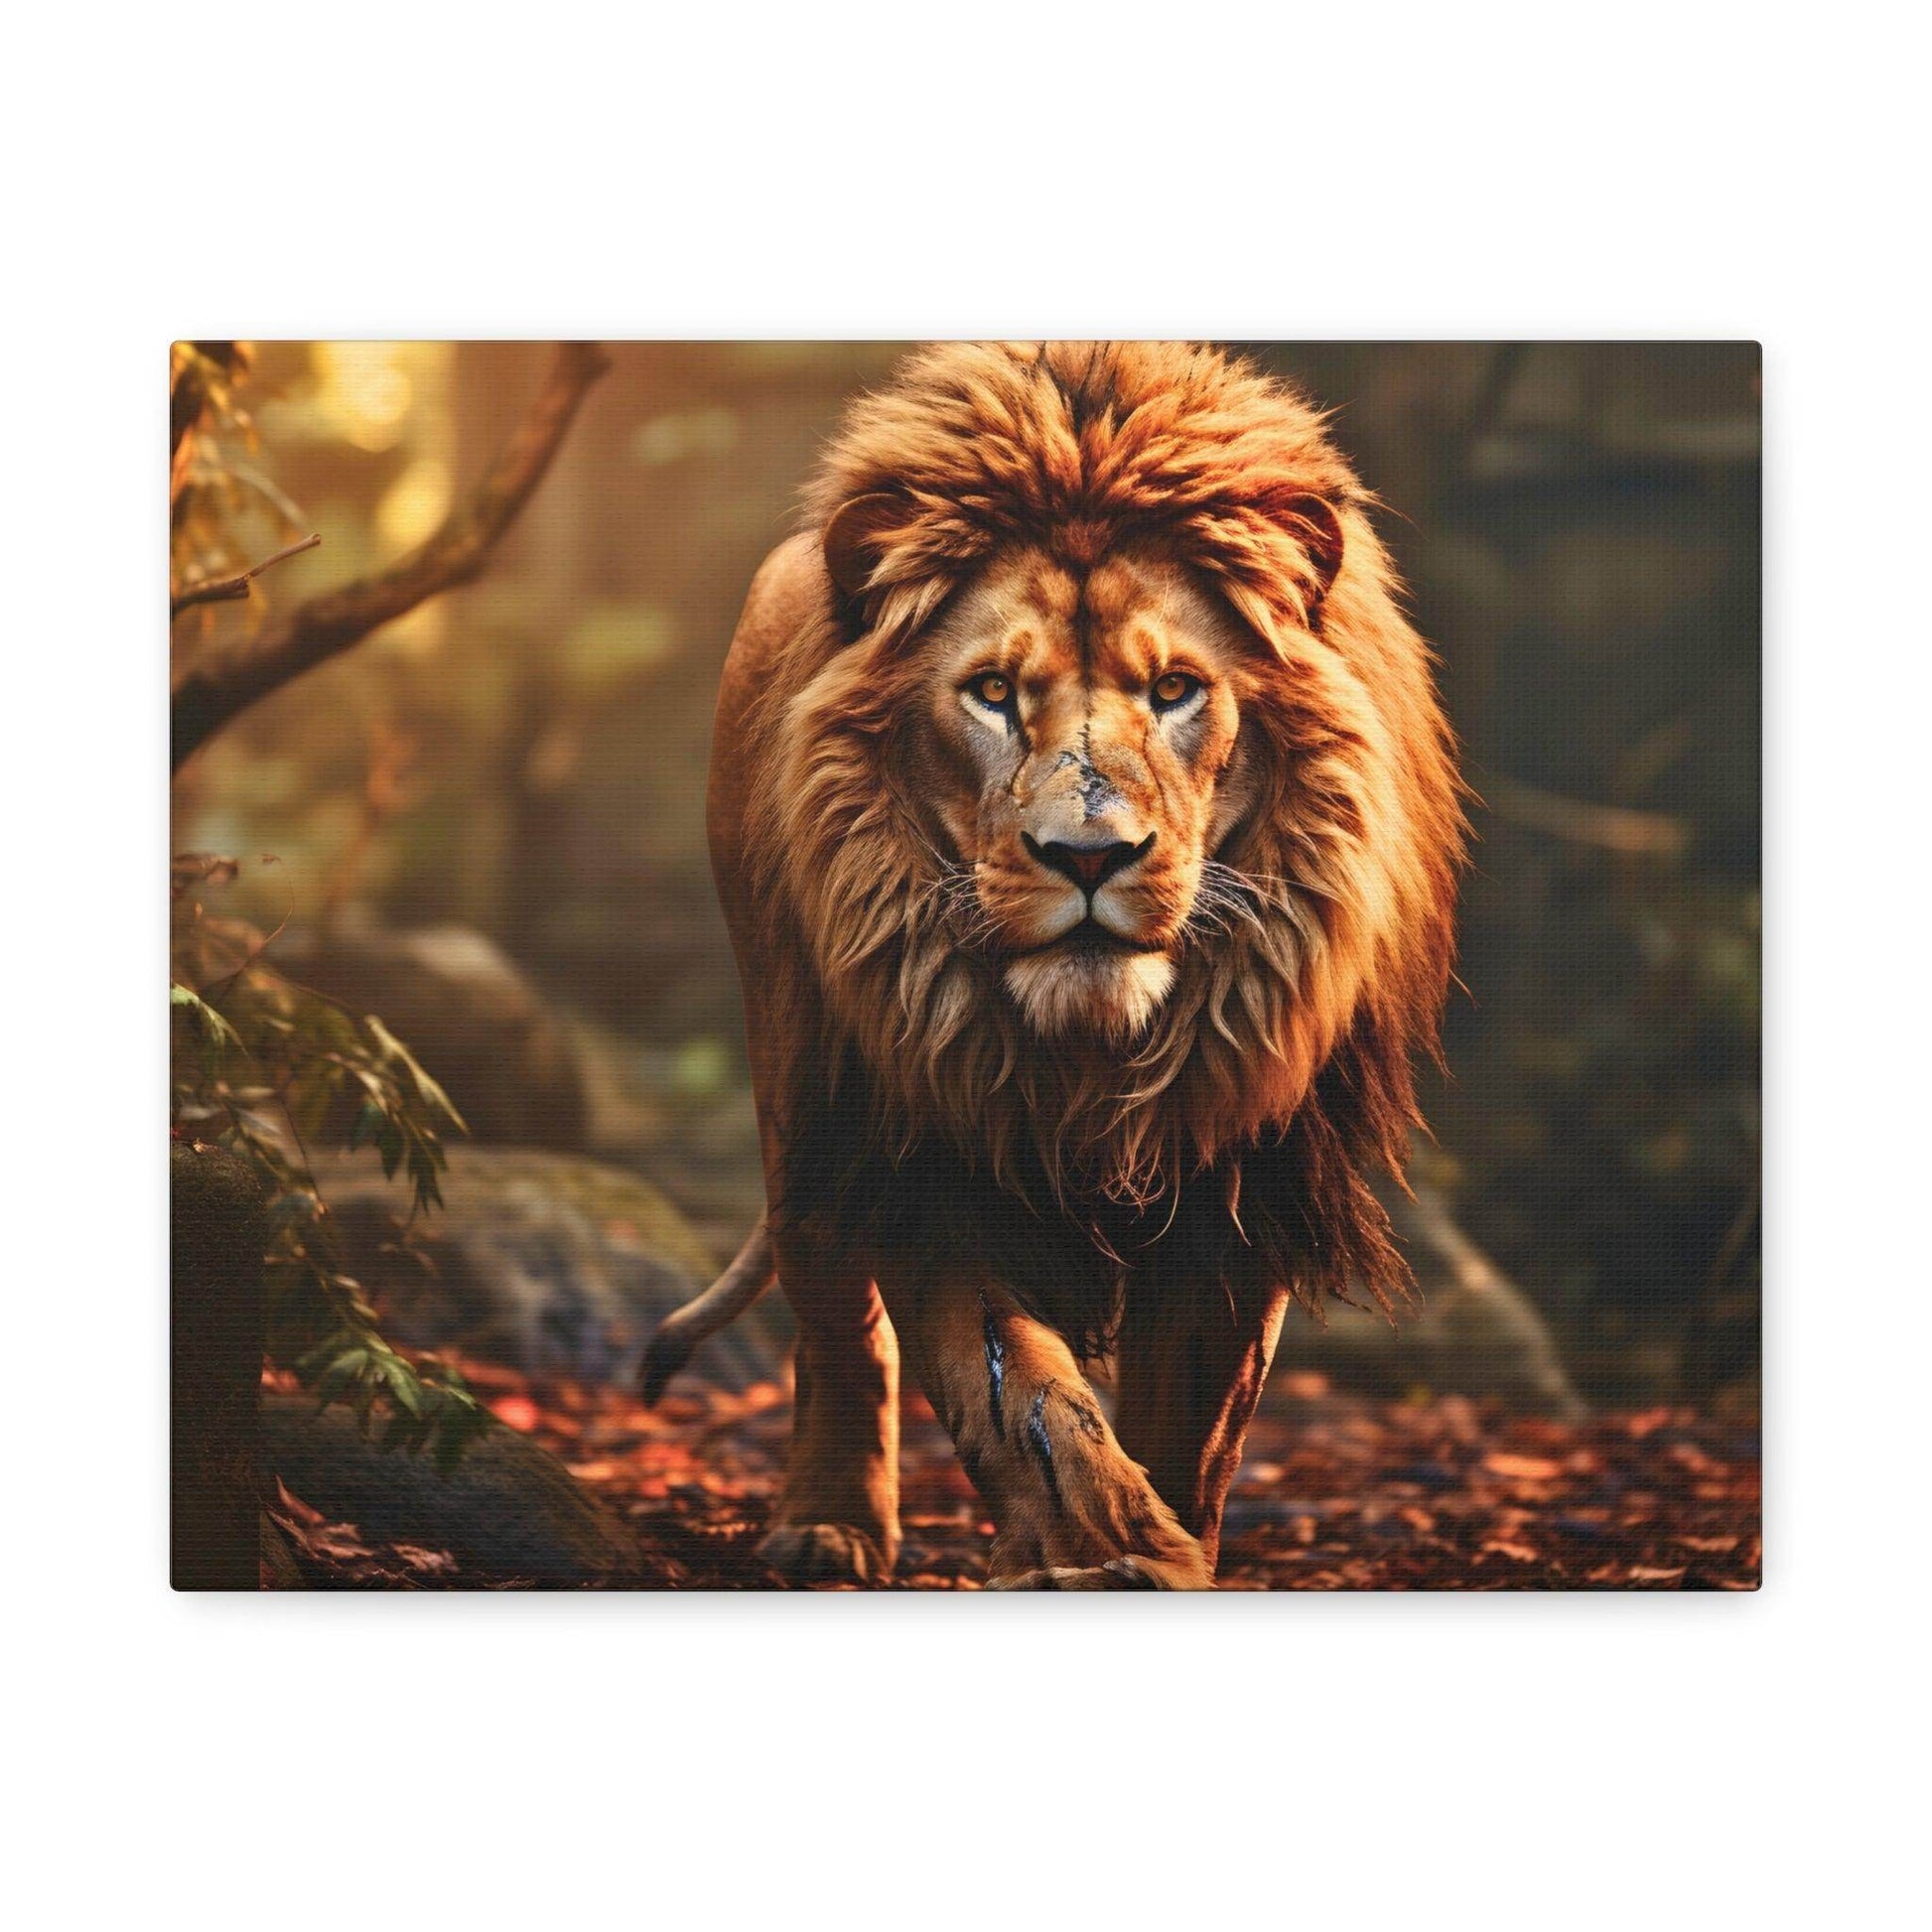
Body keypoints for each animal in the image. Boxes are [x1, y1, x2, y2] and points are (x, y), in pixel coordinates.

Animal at [642, 341, 1465, 1588]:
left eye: (1173, 689)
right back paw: (826, 1525)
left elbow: (1190, 1427)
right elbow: (1020, 1397)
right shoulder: (927, 1142)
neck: (1093, 1055)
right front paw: (1100, 1545)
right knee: (834, 1311)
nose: (1088, 854)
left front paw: (1163, 1550)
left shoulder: (1241, 1175)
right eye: (992, 691)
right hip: (800, 1079)